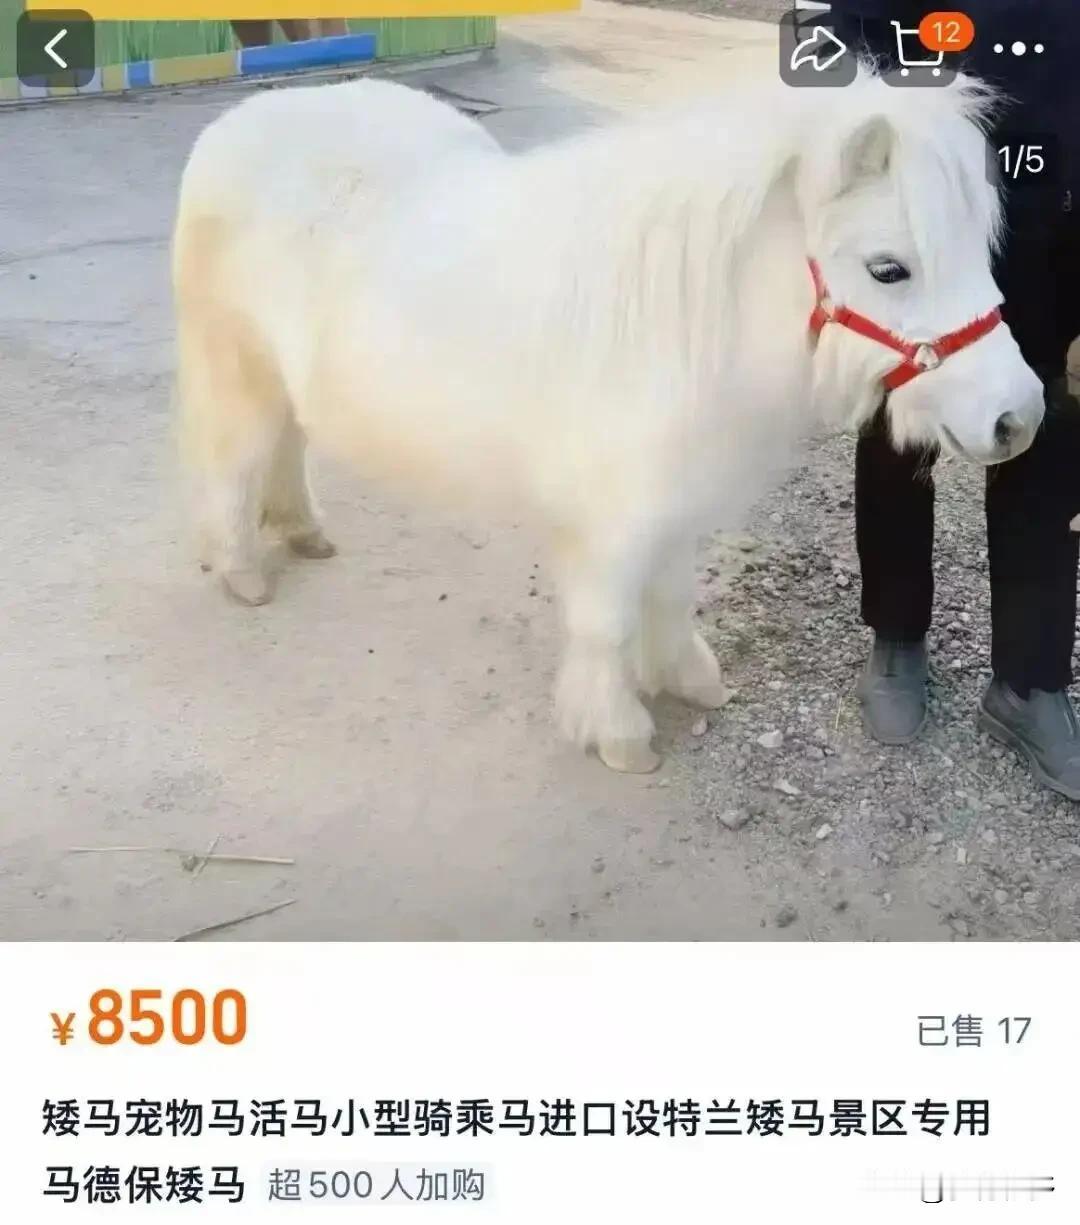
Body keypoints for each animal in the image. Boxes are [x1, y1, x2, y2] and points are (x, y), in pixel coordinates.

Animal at [172, 67, 1045, 773]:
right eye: (888, 269)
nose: (1021, 416)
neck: (685, 318)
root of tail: (236, 126)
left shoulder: (674, 503)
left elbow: (671, 595)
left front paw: (688, 679)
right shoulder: (610, 521)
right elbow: (605, 621)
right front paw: (618, 731)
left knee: (285, 448)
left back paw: (303, 532)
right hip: (238, 370)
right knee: (233, 466)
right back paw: (244, 571)